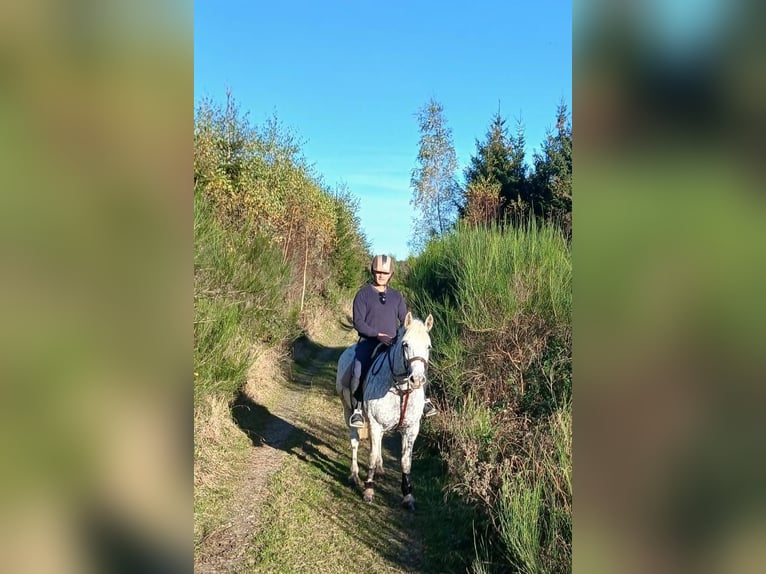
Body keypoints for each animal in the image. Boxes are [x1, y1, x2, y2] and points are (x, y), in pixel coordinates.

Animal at [334, 312, 436, 510]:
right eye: (405, 344)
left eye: (428, 346)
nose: (417, 380)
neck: (401, 389)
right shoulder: (375, 424)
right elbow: (372, 456)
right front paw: (369, 491)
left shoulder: (411, 429)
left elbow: (406, 462)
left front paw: (407, 496)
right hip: (348, 411)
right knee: (355, 441)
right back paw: (354, 475)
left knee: (377, 443)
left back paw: (380, 469)